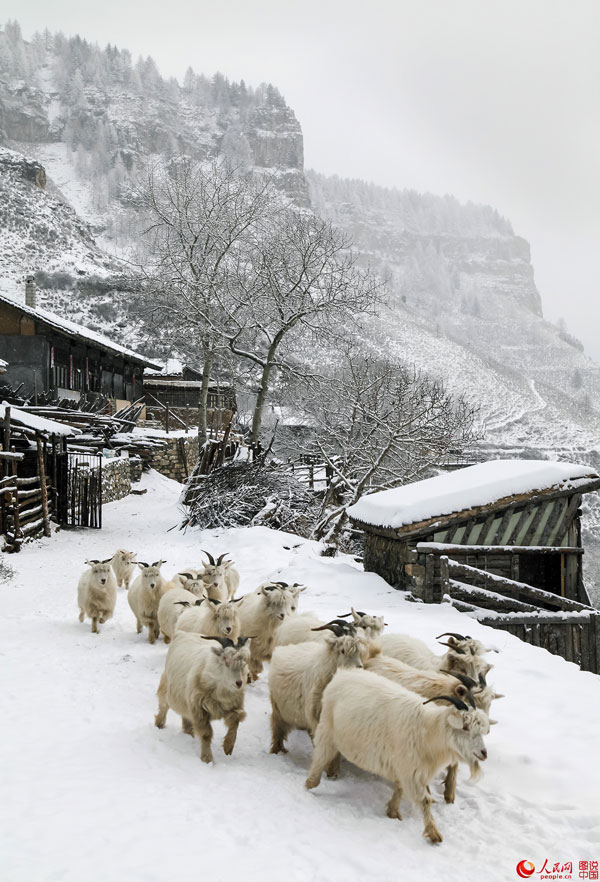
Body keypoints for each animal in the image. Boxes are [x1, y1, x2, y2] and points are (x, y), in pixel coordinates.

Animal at [155, 628, 251, 760]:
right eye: (226, 660)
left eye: (244, 663)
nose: (239, 683)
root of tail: (182, 632)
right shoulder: (199, 709)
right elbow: (206, 734)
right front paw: (207, 758)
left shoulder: (232, 705)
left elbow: (235, 721)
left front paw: (228, 747)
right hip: (167, 684)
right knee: (163, 705)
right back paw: (159, 724)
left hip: (186, 699)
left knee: (186, 717)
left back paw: (188, 733)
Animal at [308, 672, 490, 844]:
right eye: (465, 727)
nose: (484, 753)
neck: (428, 730)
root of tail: (341, 674)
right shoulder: (411, 771)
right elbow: (424, 800)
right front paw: (434, 834)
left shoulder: (406, 768)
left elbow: (400, 789)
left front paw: (393, 812)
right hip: (326, 730)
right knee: (320, 758)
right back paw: (309, 785)